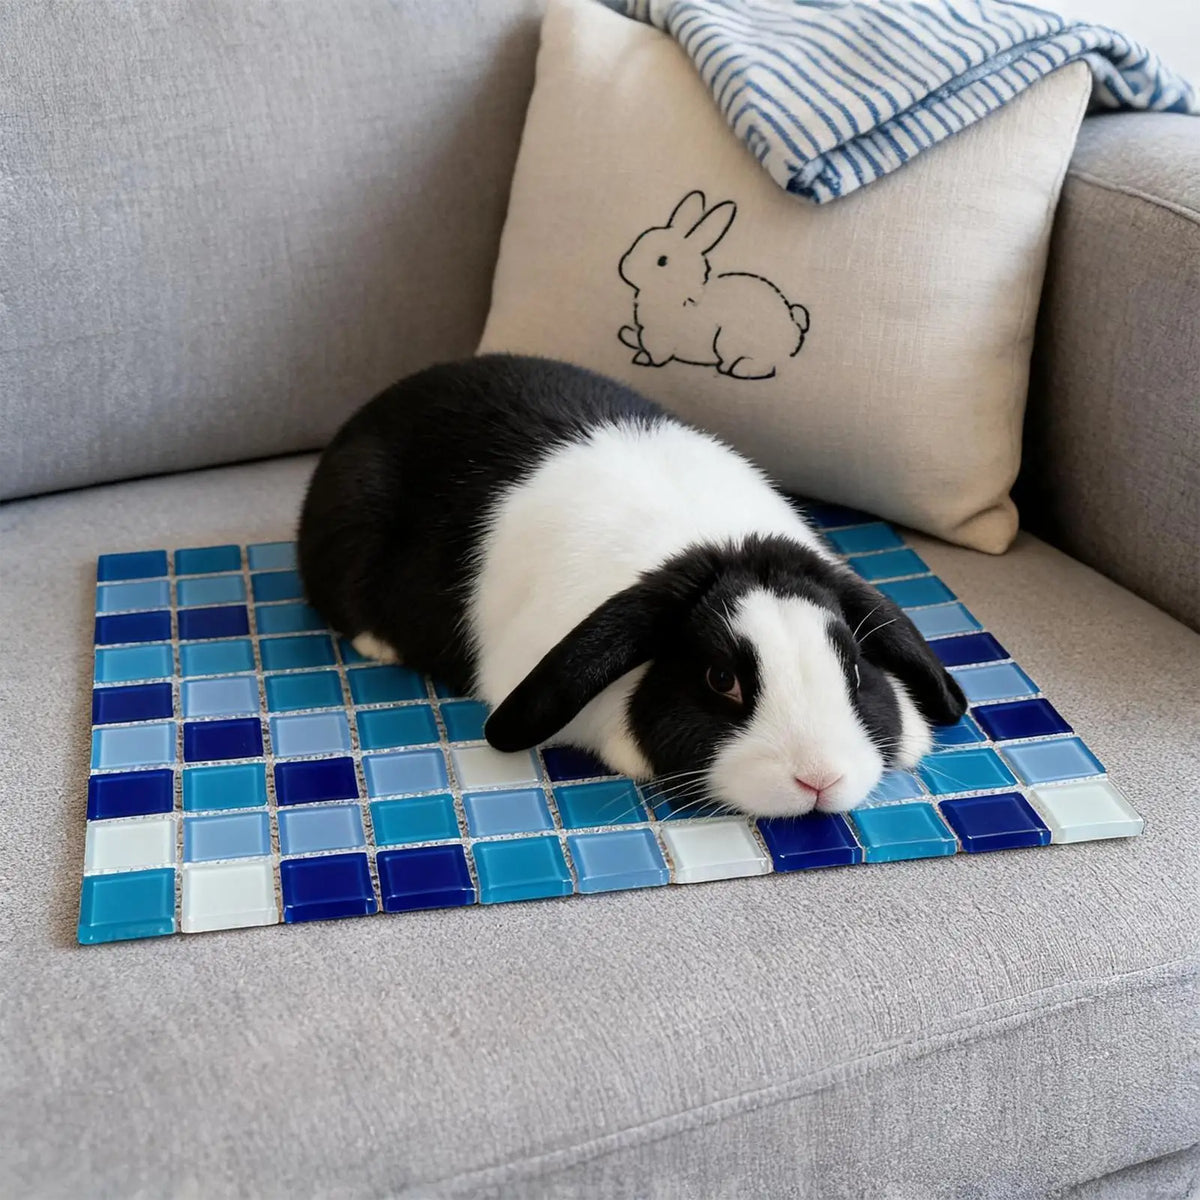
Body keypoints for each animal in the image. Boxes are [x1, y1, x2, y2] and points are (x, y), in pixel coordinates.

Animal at [618, 190, 810, 381]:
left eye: (662, 261)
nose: (624, 267)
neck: (678, 291)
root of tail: (794, 324)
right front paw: (630, 339)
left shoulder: (661, 340)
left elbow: (656, 355)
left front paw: (643, 359)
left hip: (730, 341)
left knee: (762, 365)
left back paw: (738, 369)